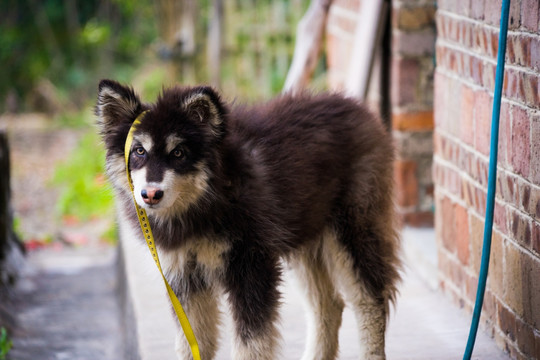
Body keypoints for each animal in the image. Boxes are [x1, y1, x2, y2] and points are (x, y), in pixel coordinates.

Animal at [96, 79, 400, 360]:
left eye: (179, 153)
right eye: (139, 151)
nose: (150, 194)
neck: (209, 196)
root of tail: (358, 107)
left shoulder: (252, 268)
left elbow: (251, 343)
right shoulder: (184, 278)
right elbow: (193, 342)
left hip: (352, 231)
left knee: (369, 301)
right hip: (305, 239)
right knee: (328, 305)